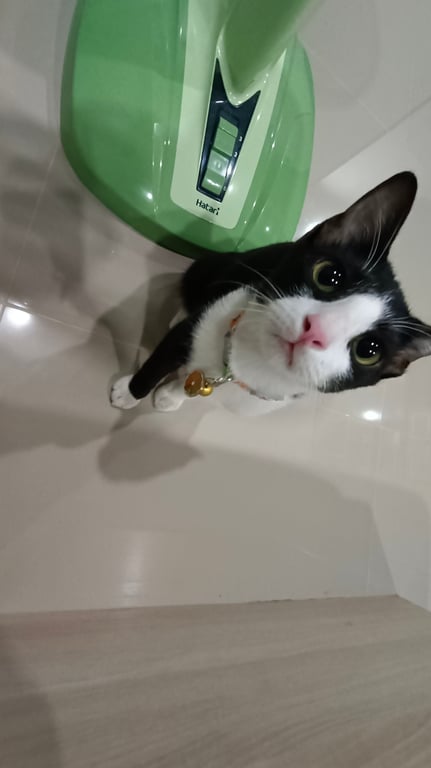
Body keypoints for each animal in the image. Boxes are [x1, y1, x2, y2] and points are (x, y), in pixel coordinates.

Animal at [110, 171, 431, 417]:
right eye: (329, 276)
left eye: (369, 350)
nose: (315, 330)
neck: (251, 361)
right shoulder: (218, 311)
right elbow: (161, 359)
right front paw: (129, 392)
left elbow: (198, 380)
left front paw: (173, 395)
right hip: (214, 264)